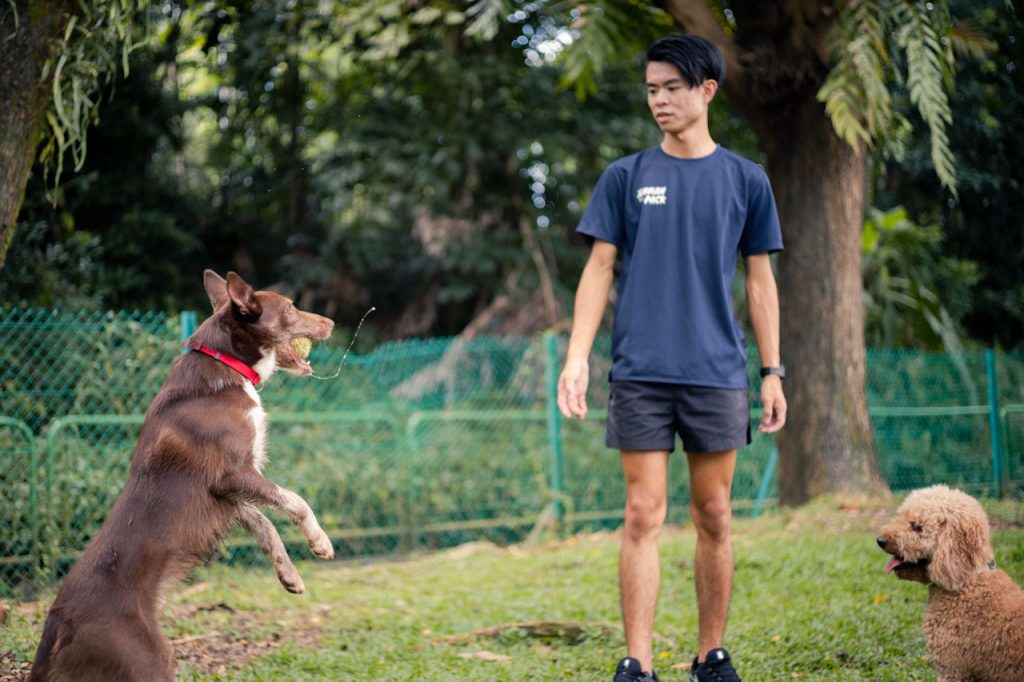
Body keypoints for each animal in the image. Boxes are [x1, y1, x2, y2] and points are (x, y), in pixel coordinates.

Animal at [29, 270, 335, 679]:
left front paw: (290, 575)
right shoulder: (233, 475)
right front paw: (321, 542)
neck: (227, 364)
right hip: (147, 659)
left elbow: (265, 525)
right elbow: (296, 502)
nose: (331, 323)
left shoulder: (225, 495)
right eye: (289, 308)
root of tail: (59, 621)